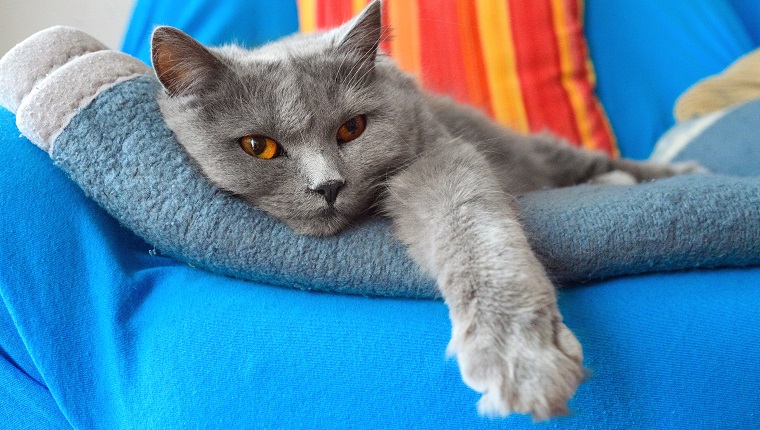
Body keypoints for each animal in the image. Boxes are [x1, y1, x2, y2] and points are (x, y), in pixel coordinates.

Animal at [151, 0, 704, 420]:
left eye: (352, 128)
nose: (328, 185)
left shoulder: (438, 158)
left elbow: (473, 227)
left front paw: (519, 359)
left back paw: (676, 172)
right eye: (257, 146)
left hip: (536, 150)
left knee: (589, 161)